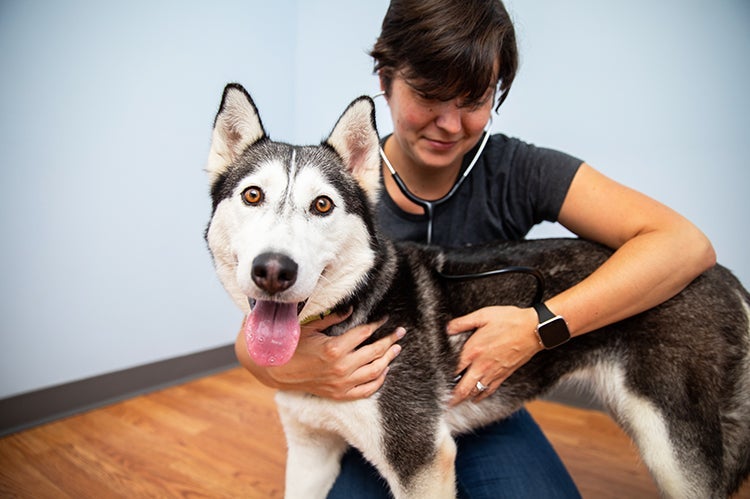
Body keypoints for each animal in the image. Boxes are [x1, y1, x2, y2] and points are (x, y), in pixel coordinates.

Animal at [206, 84, 750, 498]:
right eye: (252, 195)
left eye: (321, 205)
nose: (273, 270)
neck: (346, 315)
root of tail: (725, 274)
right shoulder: (310, 452)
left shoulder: (420, 458)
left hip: (674, 452)